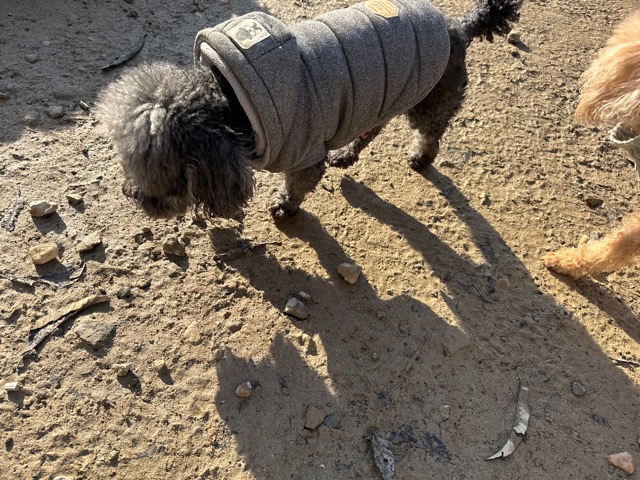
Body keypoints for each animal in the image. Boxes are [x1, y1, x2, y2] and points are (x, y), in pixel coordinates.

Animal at [95, 0, 522, 221]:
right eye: (126, 162)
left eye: (162, 173)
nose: (132, 195)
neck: (232, 100)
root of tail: (459, 27)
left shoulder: (304, 156)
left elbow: (297, 187)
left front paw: (285, 207)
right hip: (387, 94)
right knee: (375, 127)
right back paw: (347, 153)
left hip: (427, 97)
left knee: (431, 130)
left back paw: (421, 157)